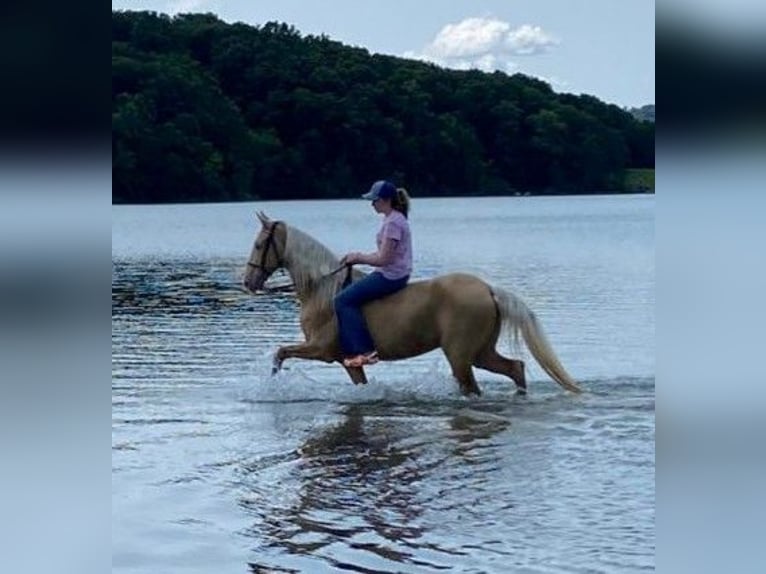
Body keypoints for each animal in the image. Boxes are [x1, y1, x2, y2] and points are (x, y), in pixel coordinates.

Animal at [246, 212, 584, 396]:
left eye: (260, 244)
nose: (248, 282)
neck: (323, 291)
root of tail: (489, 289)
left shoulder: (321, 350)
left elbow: (280, 353)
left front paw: (273, 383)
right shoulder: (347, 361)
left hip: (460, 356)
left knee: (475, 387)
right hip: (480, 352)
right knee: (516, 368)